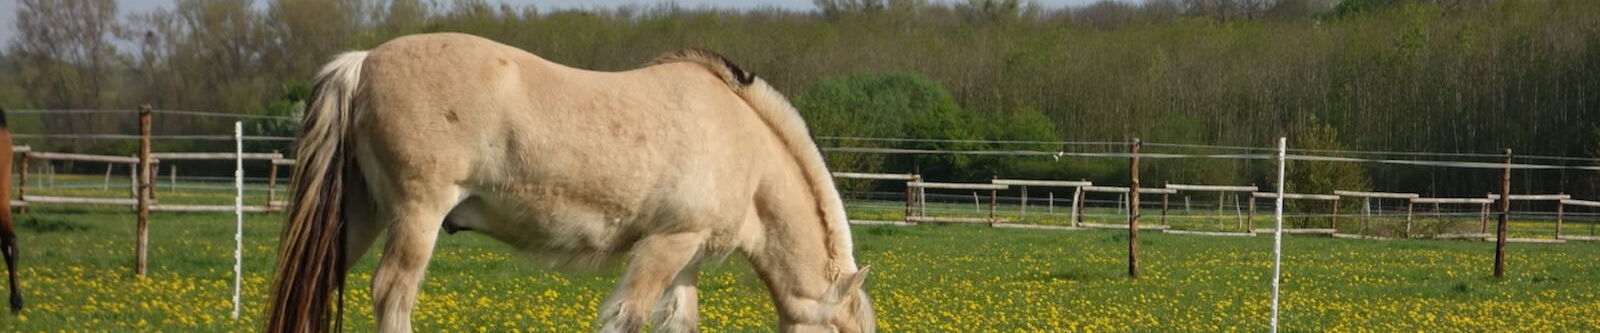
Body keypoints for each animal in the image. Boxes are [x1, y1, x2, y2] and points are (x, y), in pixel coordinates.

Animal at [270, 33, 883, 333]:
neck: (743, 144)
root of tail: (363, 61)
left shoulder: (686, 257)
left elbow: (679, 323)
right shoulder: (666, 245)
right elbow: (627, 318)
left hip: (362, 214)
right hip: (415, 215)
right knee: (392, 294)